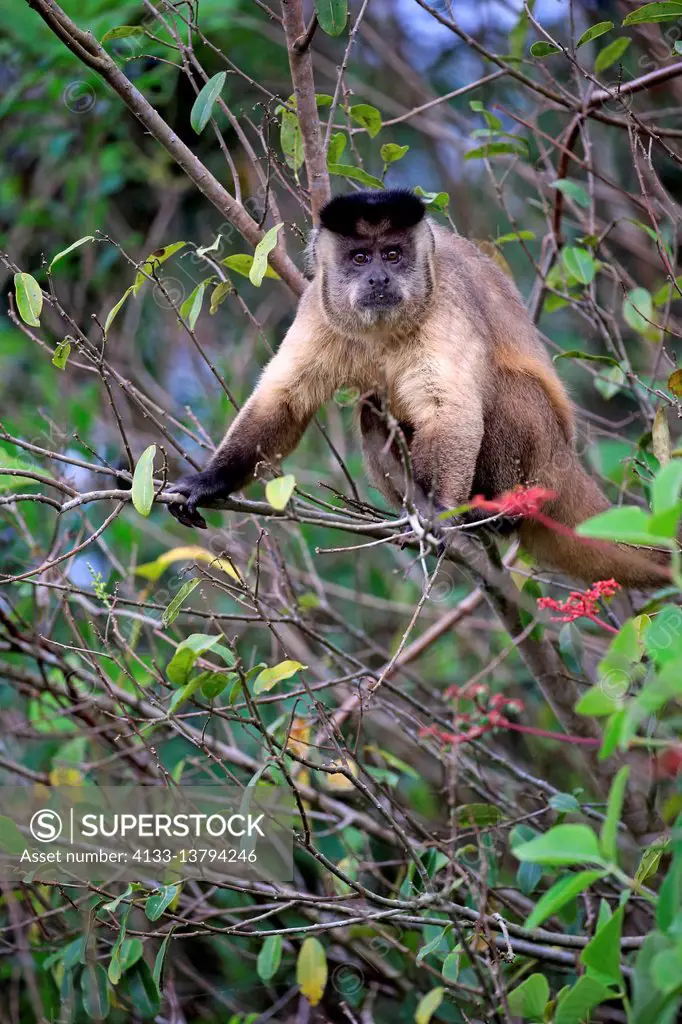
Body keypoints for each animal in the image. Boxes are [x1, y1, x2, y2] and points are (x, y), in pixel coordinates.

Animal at [166, 189, 667, 589]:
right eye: (360, 258)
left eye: (392, 254)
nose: (379, 278)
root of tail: (566, 460)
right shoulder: (318, 307)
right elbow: (284, 401)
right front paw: (209, 481)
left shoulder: (446, 301)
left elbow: (452, 410)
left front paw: (439, 513)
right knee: (372, 409)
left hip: (544, 460)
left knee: (505, 392)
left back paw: (495, 513)